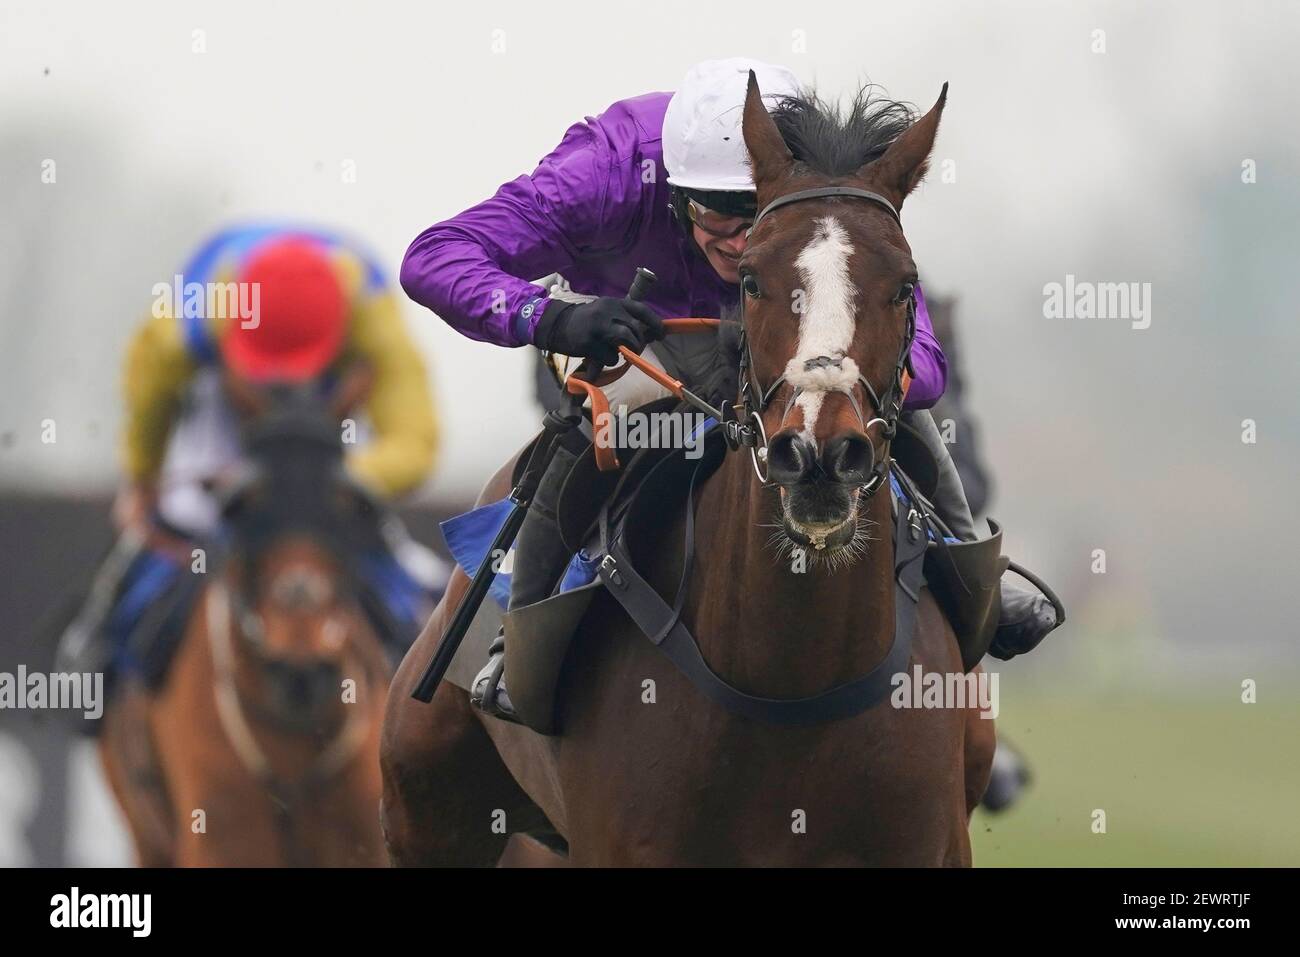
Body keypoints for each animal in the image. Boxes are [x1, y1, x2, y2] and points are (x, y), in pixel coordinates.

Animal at [379, 76, 993, 868]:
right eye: (754, 279)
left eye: (904, 283)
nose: (820, 455)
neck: (791, 677)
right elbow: (446, 244)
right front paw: (594, 323)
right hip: (427, 806)